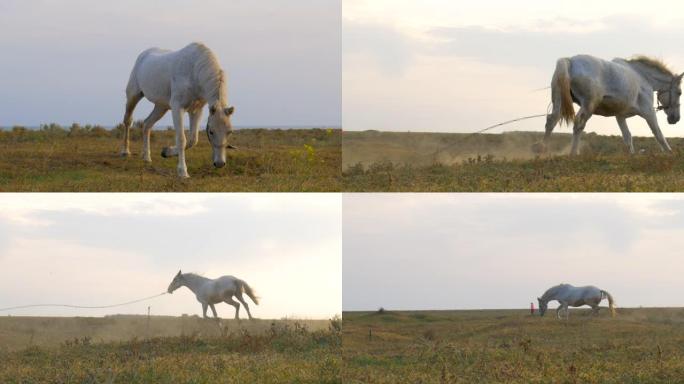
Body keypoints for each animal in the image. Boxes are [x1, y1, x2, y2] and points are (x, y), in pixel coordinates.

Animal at [118, 42, 235, 178]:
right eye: (211, 131)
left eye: (230, 132)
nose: (220, 163)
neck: (193, 71)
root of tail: (143, 55)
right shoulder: (177, 107)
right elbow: (181, 139)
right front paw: (182, 171)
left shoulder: (196, 111)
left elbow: (192, 140)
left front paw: (166, 152)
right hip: (133, 96)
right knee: (128, 120)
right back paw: (125, 151)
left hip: (161, 107)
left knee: (147, 124)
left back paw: (146, 157)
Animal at [544, 55, 680, 154]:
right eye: (679, 92)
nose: (676, 119)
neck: (643, 77)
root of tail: (570, 61)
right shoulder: (649, 112)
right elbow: (658, 134)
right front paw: (669, 152)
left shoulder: (620, 116)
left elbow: (627, 137)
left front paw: (631, 155)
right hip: (588, 105)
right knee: (578, 123)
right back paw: (573, 153)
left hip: (559, 103)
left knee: (551, 121)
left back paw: (544, 151)